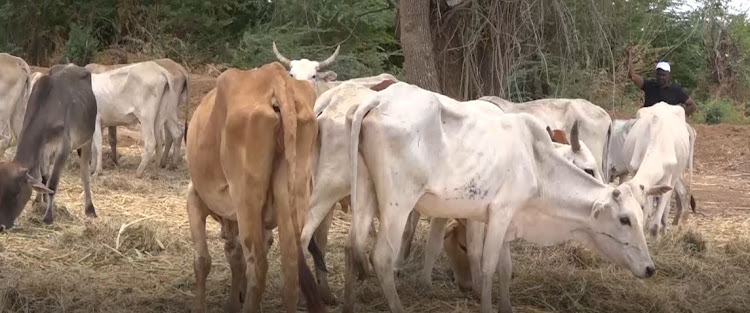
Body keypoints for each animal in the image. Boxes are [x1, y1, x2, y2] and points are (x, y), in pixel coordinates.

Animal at [0, 63, 99, 230]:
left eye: (16, 193)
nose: (2, 226)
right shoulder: (43, 150)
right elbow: (42, 177)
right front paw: (41, 202)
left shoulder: (64, 147)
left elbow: (52, 183)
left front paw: (48, 217)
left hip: (87, 139)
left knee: (85, 174)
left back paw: (90, 208)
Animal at [187, 61, 324, 312]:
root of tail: (276, 77)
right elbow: (235, 258)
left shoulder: (194, 198)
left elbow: (203, 260)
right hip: (293, 192)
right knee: (290, 268)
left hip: (246, 199)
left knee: (258, 265)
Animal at [612, 101, 692, 235]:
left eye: (641, 206)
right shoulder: (637, 173)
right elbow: (648, 214)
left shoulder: (667, 179)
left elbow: (655, 223)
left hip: (675, 176)